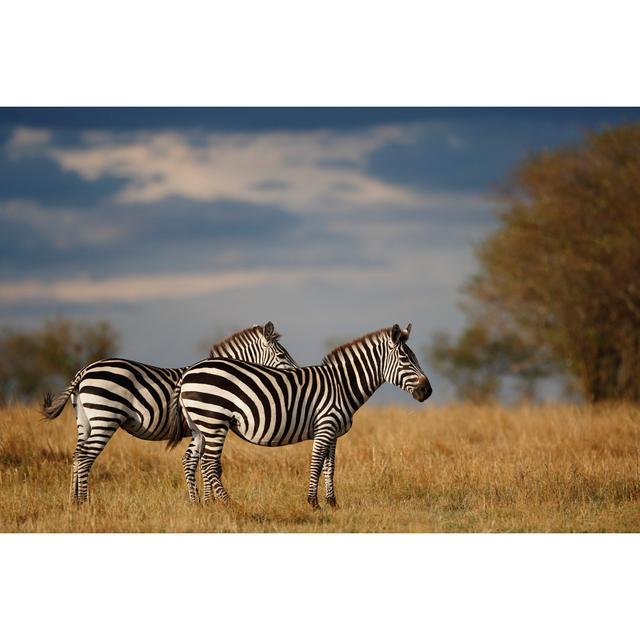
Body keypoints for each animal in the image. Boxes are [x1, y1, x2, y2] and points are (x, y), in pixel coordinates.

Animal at [42, 322, 298, 502]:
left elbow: (199, 463)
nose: (297, 373)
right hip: (105, 416)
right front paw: (209, 502)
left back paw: (73, 502)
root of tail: (84, 370)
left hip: (85, 421)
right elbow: (207, 464)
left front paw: (203, 502)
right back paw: (85, 503)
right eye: (282, 355)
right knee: (86, 457)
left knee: (77, 456)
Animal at [168, 324, 432, 510]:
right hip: (214, 421)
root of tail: (188, 373)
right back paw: (230, 504)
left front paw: (333, 503)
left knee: (194, 460)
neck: (341, 385)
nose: (427, 391)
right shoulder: (324, 426)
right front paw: (313, 504)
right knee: (210, 463)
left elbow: (330, 465)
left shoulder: (333, 433)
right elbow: (316, 463)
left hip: (199, 426)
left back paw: (202, 504)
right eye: (406, 359)